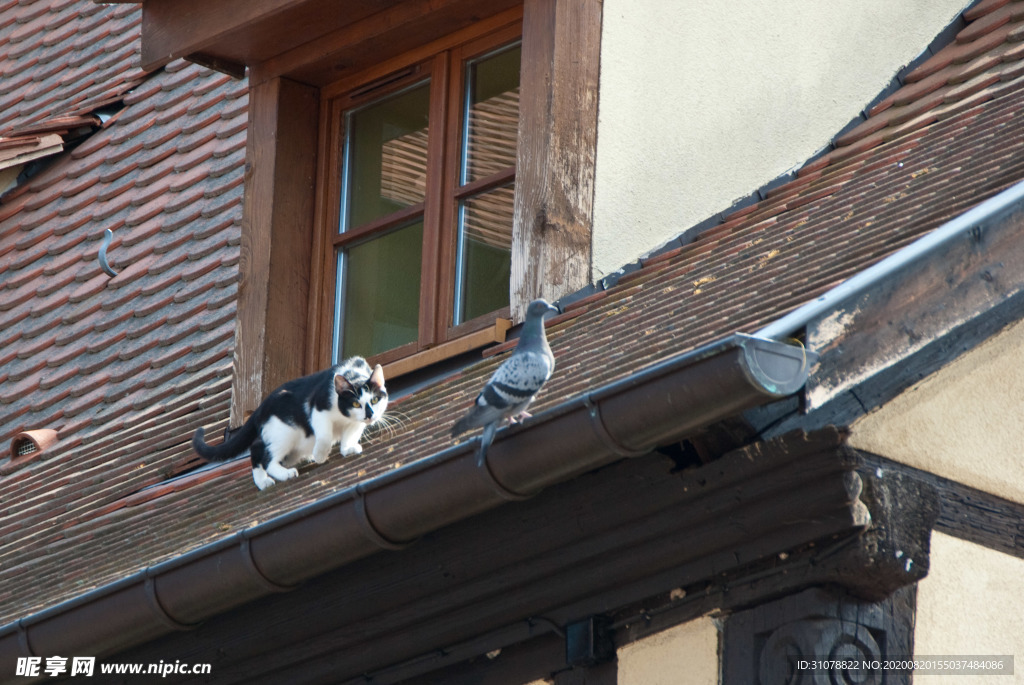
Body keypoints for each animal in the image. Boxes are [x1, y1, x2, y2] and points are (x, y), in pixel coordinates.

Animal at [192, 358, 387, 485]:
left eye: (375, 400)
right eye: (355, 403)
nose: (369, 415)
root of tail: (261, 408)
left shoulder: (356, 423)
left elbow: (350, 435)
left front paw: (347, 449)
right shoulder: (318, 408)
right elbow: (324, 435)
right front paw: (320, 455)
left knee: (257, 448)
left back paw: (263, 482)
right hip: (284, 432)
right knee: (265, 456)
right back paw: (283, 474)